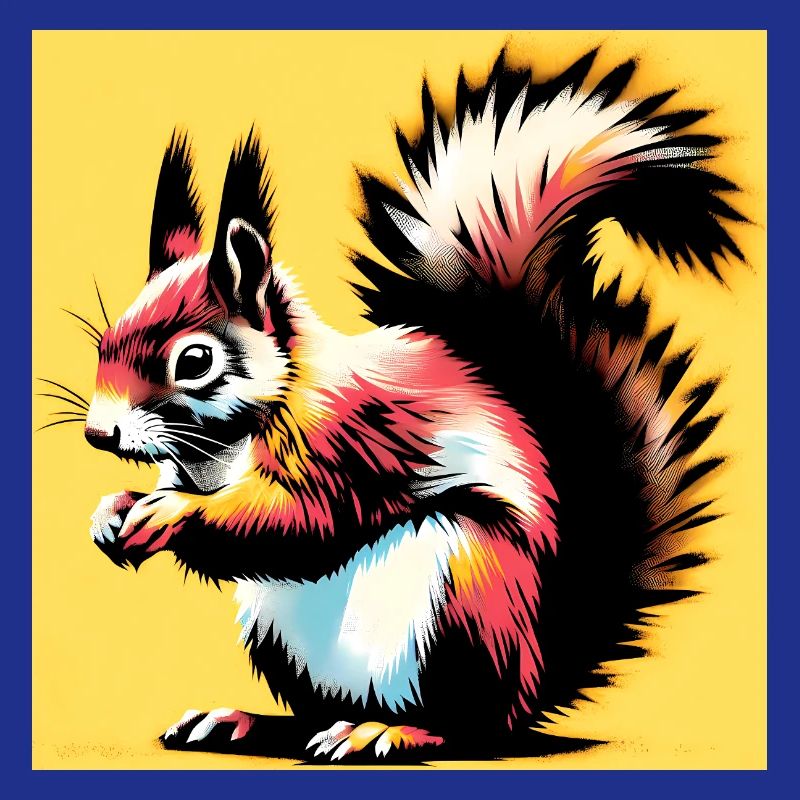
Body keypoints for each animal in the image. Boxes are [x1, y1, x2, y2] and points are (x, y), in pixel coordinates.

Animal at [80, 49, 743, 760]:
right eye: (107, 339)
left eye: (194, 361)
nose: (99, 434)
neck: (225, 444)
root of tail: (535, 678)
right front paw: (113, 510)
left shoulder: (350, 440)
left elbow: (298, 520)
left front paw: (172, 513)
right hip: (280, 631)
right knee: (314, 713)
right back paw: (247, 721)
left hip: (465, 597)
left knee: (470, 723)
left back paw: (390, 730)